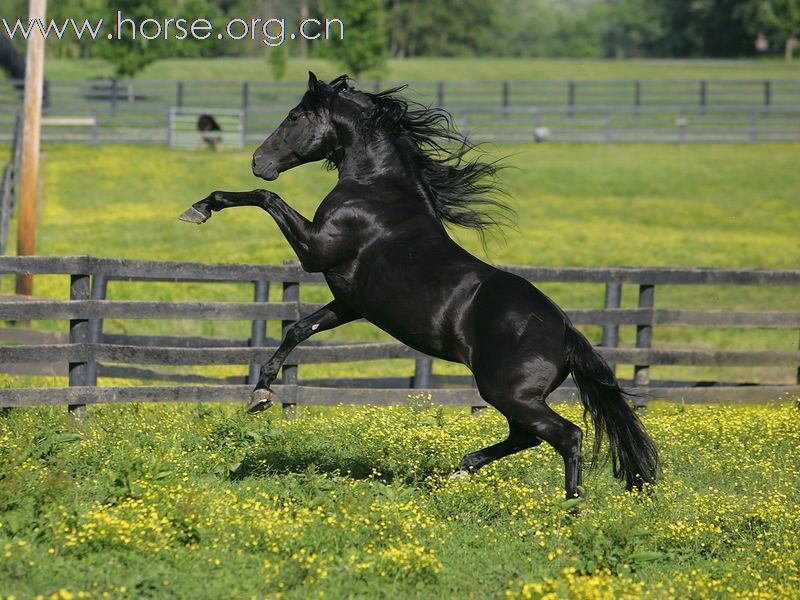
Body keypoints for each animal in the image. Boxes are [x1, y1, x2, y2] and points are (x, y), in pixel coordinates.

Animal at [183, 74, 664, 496]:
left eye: (295, 115)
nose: (258, 162)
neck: (376, 190)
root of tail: (566, 332)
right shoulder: (349, 302)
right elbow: (298, 329)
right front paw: (261, 393)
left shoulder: (314, 250)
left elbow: (265, 199)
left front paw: (201, 208)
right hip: (514, 396)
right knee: (525, 436)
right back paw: (462, 470)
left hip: (508, 392)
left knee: (567, 435)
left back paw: (571, 508)